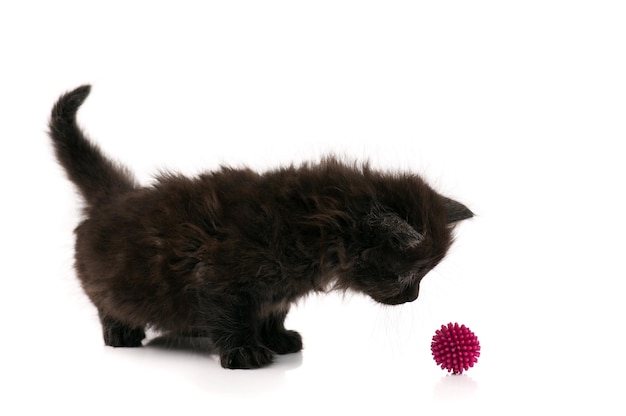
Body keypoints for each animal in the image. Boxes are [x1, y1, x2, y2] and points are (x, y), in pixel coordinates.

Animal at [48, 84, 470, 368]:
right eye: (412, 273)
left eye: (424, 275)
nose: (413, 297)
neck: (313, 230)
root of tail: (115, 197)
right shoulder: (217, 278)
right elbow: (230, 316)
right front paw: (245, 351)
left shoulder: (276, 293)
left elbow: (272, 312)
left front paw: (277, 339)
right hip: (112, 283)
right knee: (108, 305)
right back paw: (121, 332)